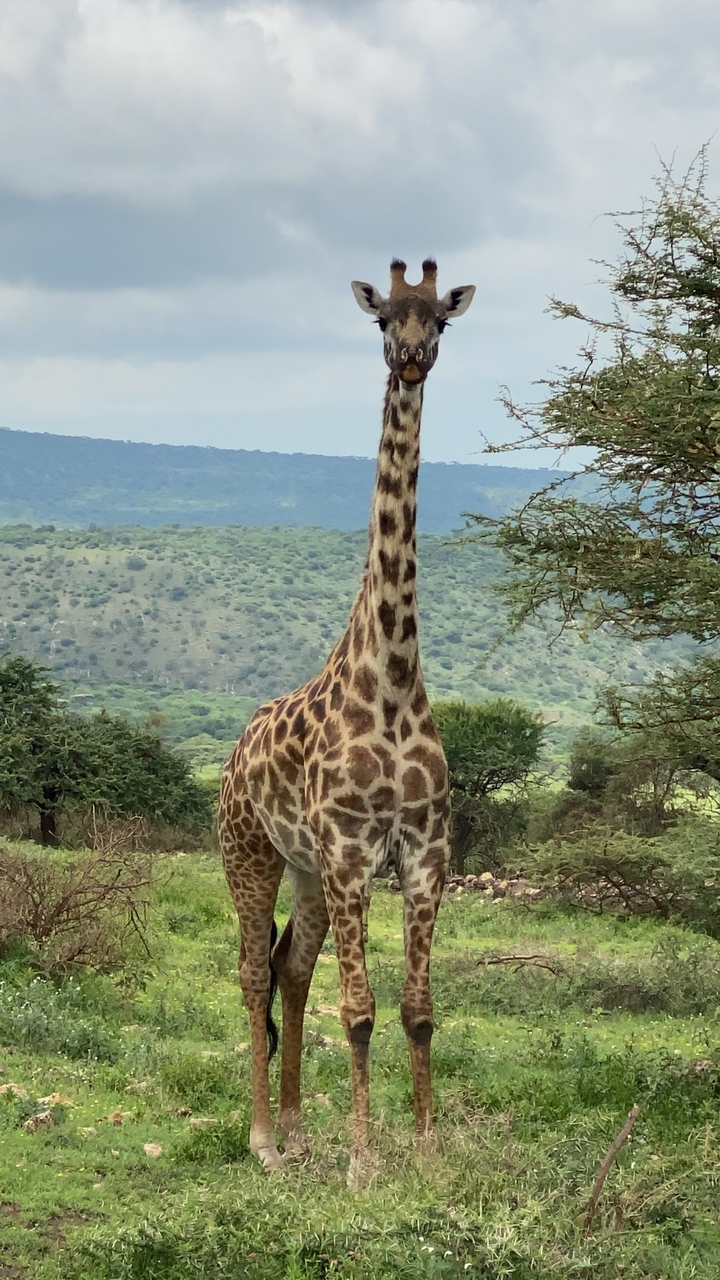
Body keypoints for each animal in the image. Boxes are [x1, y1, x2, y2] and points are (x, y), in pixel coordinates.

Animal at [219, 258, 475, 1181]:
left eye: (441, 318)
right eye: (382, 321)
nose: (412, 357)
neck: (393, 678)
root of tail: (232, 754)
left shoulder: (426, 854)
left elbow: (418, 1007)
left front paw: (428, 1152)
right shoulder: (355, 853)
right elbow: (359, 1009)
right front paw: (366, 1165)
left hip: (306, 869)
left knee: (290, 969)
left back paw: (297, 1131)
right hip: (251, 855)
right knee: (254, 973)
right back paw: (263, 1139)